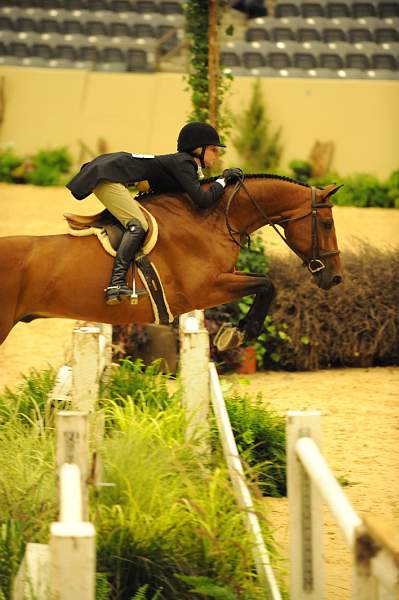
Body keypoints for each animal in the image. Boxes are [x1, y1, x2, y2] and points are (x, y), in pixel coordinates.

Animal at [0, 173, 344, 346]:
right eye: (328, 224)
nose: (336, 278)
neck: (211, 217)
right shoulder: (206, 289)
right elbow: (267, 284)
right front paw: (239, 333)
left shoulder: (222, 280)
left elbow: (265, 284)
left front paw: (237, 330)